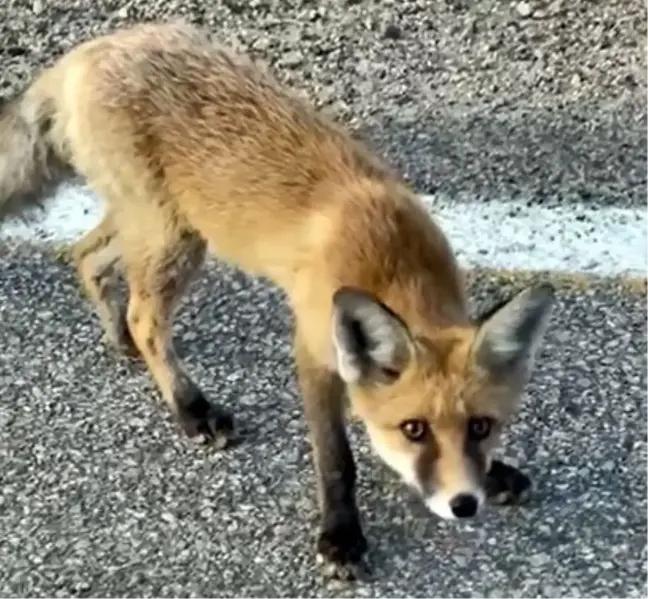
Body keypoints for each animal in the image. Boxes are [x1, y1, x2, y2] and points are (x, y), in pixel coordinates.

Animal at [0, 22, 556, 580]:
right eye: (414, 430)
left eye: (481, 427)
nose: (464, 504)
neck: (394, 260)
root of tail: (95, 46)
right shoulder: (313, 349)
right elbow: (336, 460)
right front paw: (341, 537)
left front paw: (494, 473)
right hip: (173, 237)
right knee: (143, 317)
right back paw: (190, 406)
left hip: (158, 225)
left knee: (86, 256)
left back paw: (117, 338)